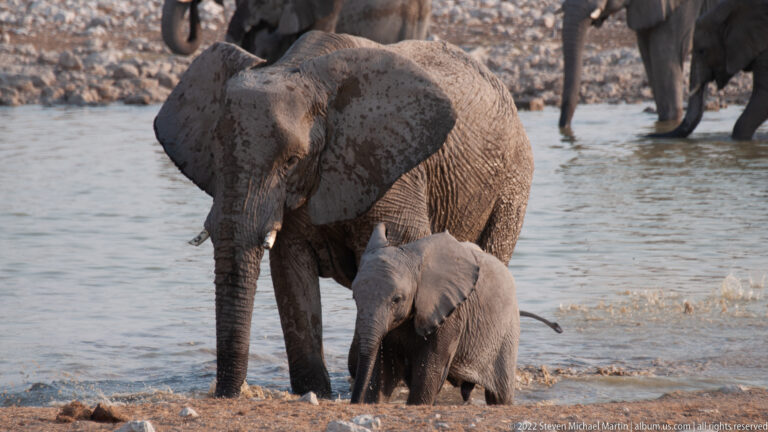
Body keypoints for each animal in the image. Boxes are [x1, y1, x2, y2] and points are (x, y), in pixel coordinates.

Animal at [153, 31, 534, 398]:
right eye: (215, 154)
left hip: (513, 181)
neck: (300, 70)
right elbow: (291, 274)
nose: (226, 394)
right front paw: (316, 392)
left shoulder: (395, 174)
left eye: (292, 161)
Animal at [349, 224, 562, 405]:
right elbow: (385, 371)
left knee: (499, 396)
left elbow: (429, 372)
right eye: (354, 298)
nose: (354, 402)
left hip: (507, 333)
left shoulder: (451, 315)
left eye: (397, 299)